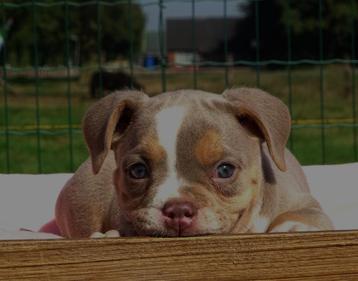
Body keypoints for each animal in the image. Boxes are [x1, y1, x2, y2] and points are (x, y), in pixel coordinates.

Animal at [51, 87, 332, 236]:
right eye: (138, 171)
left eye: (225, 170)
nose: (178, 210)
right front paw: (109, 235)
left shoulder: (304, 202)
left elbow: (304, 215)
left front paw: (294, 228)